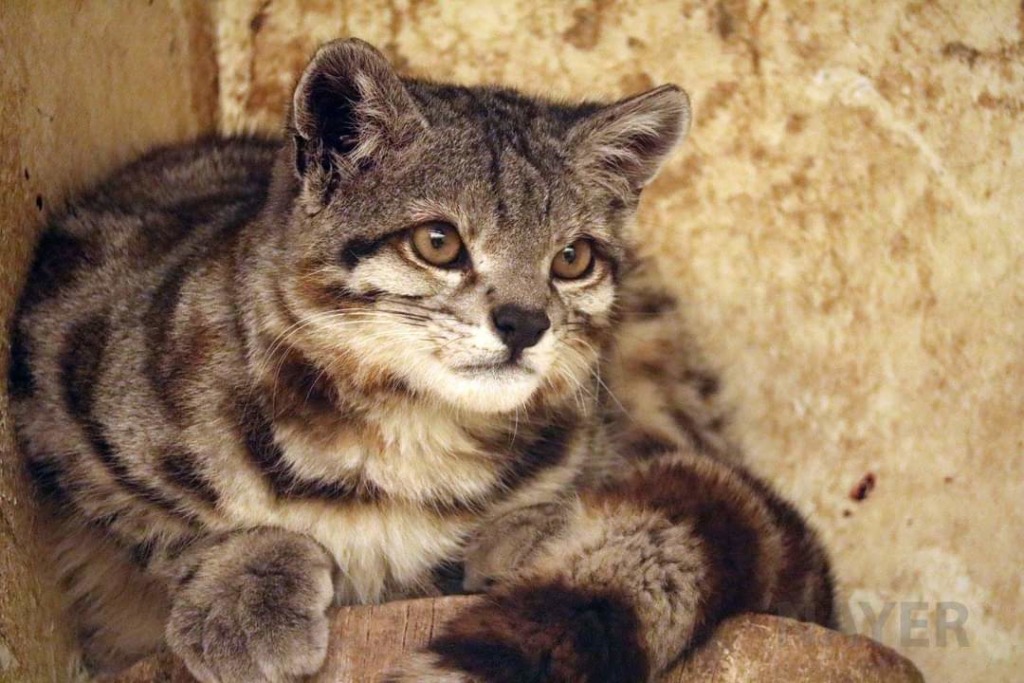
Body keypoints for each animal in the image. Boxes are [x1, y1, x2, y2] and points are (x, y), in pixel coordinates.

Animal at [8, 38, 831, 683]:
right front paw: (248, 587)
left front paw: (539, 528)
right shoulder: (56, 381)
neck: (406, 434)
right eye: (439, 241)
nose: (526, 322)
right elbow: (156, 521)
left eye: (573, 257)